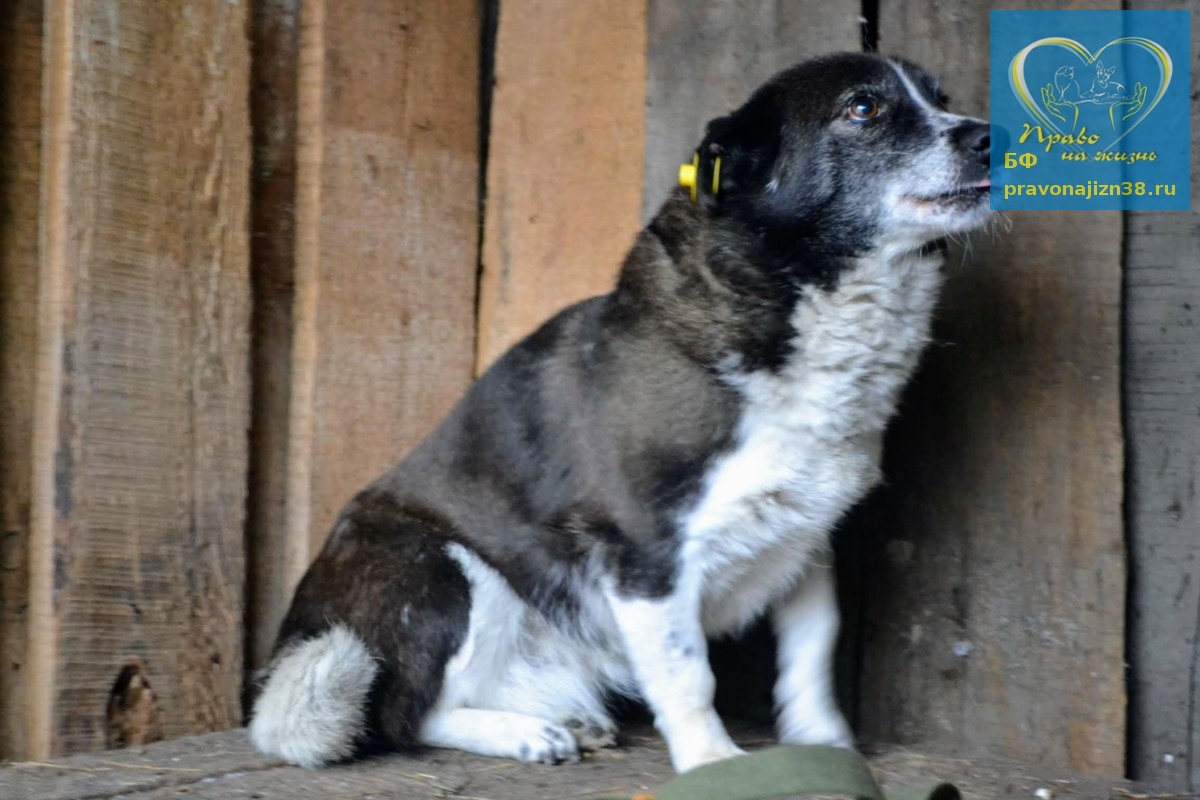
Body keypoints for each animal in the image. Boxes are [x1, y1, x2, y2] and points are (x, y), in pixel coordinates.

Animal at [246, 51, 993, 777]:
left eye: (941, 96)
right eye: (863, 108)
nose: (991, 138)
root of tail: (295, 635)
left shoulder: (804, 537)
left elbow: (813, 649)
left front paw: (823, 743)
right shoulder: (645, 554)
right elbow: (689, 676)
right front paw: (710, 761)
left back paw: (565, 721)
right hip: (440, 568)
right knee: (406, 714)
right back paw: (526, 734)